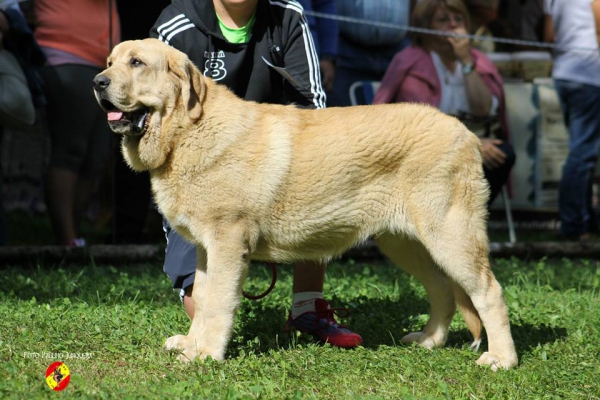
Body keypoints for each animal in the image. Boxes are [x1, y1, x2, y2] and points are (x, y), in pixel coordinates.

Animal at [92, 39, 516, 370]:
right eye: (111, 61)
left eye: (136, 62)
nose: (98, 82)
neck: (187, 133)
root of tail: (466, 132)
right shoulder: (205, 249)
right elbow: (205, 295)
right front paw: (192, 345)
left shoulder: (227, 244)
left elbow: (217, 304)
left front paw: (207, 354)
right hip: (406, 243)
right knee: (442, 289)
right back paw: (429, 340)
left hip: (450, 236)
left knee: (489, 292)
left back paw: (501, 359)